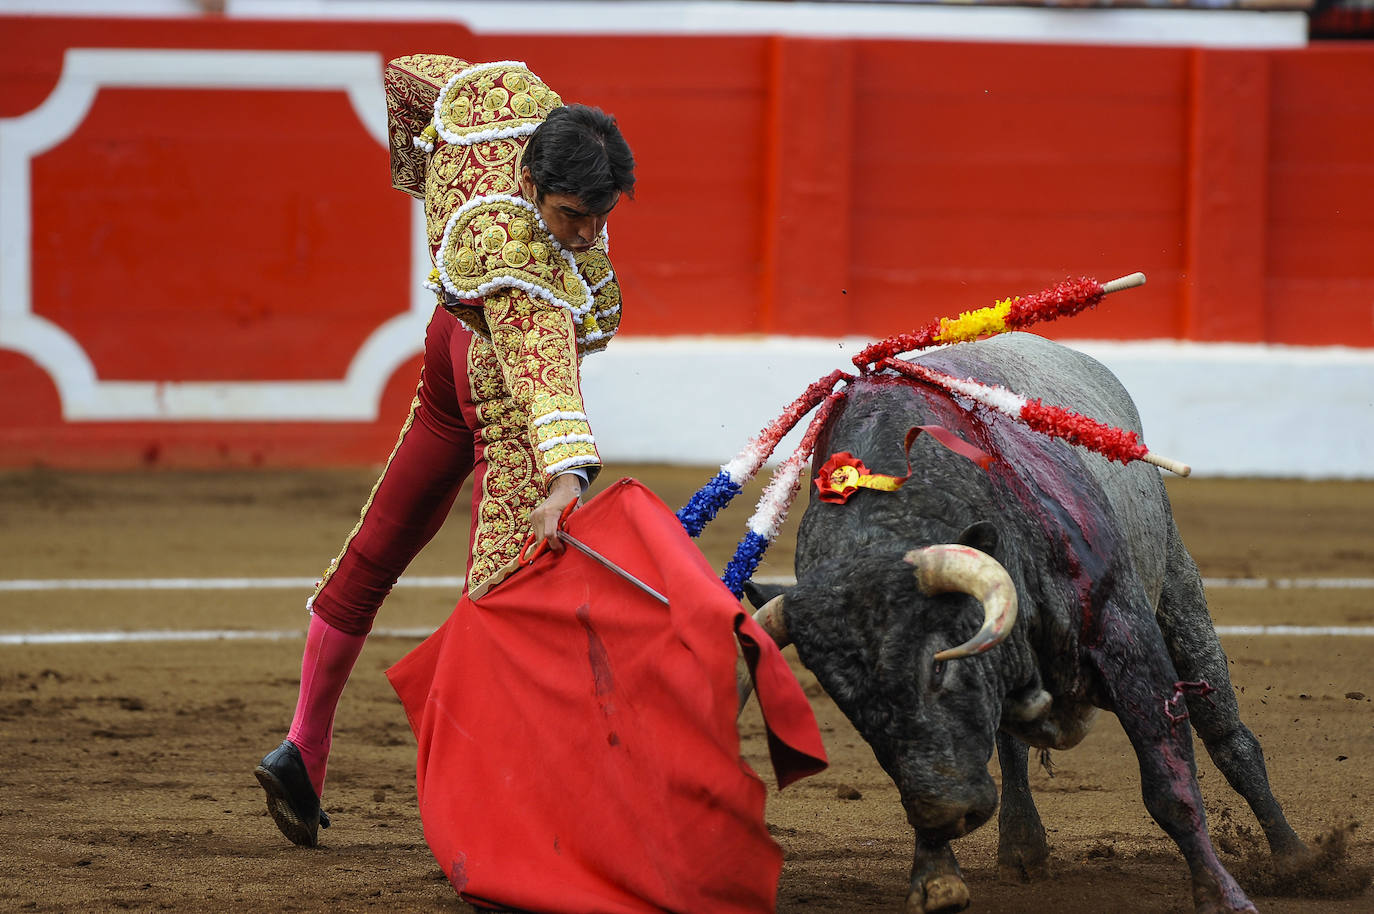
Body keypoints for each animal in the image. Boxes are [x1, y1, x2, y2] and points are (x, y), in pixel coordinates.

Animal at [752, 333, 1308, 912]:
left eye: (940, 666)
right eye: (850, 703)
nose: (946, 813)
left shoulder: (1128, 644)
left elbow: (1168, 785)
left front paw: (1222, 896)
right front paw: (936, 880)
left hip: (1179, 591)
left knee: (1226, 733)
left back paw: (1292, 859)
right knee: (1013, 748)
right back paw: (1022, 847)